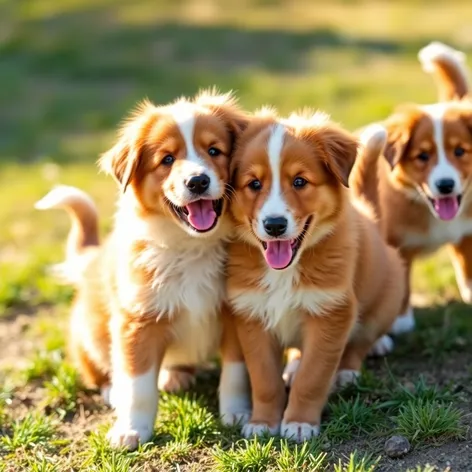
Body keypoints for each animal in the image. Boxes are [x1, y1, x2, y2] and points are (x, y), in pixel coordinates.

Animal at [36, 89, 251, 450]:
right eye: (167, 159)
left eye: (214, 150)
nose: (197, 181)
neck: (191, 246)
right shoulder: (138, 321)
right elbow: (138, 386)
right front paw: (131, 430)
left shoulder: (235, 314)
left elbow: (236, 373)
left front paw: (238, 413)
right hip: (91, 334)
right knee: (99, 370)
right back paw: (114, 390)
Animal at [227, 109, 404, 442]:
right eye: (254, 184)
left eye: (300, 181)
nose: (274, 225)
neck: (284, 272)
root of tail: (371, 220)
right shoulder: (251, 316)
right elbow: (264, 380)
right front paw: (263, 422)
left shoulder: (332, 312)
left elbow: (313, 377)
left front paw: (299, 422)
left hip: (382, 302)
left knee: (360, 342)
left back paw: (350, 368)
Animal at [350, 41, 472, 336]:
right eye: (422, 156)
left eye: (459, 151)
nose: (445, 185)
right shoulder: (396, 244)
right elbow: (402, 283)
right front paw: (401, 320)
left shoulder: (468, 230)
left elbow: (467, 262)